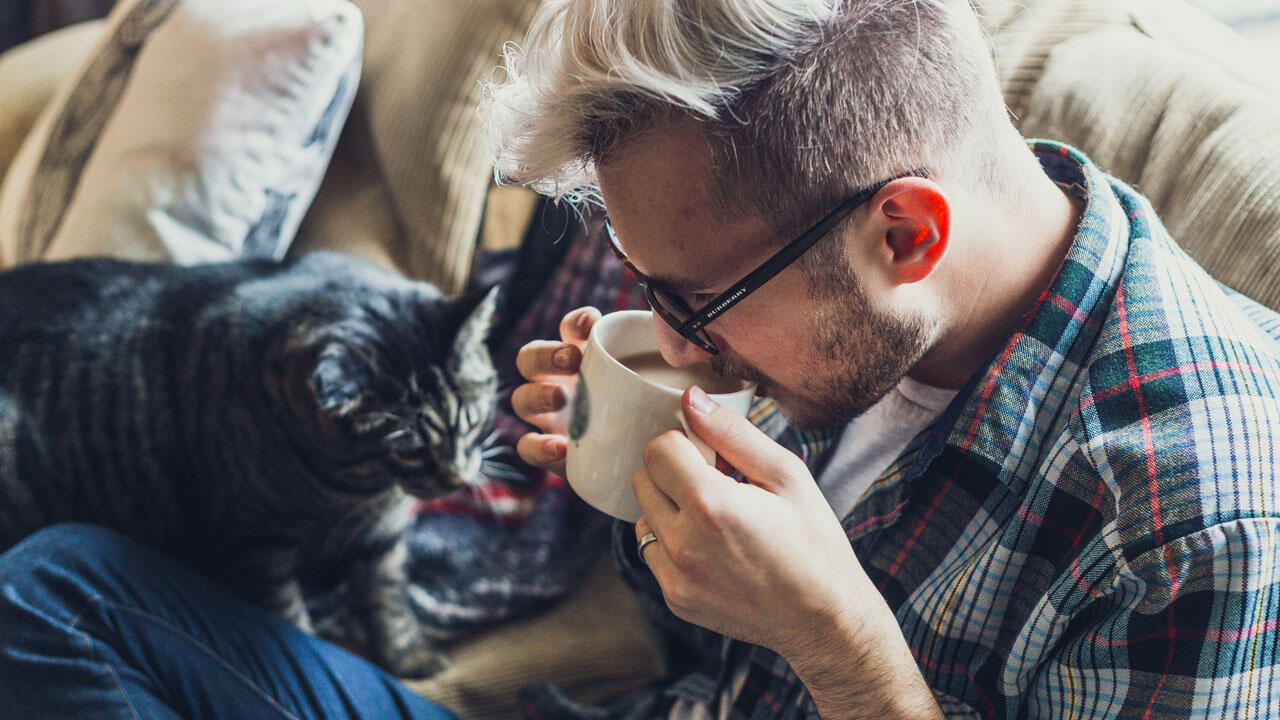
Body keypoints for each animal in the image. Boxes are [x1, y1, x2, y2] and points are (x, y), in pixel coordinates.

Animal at [0, 249, 499, 676]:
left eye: (473, 420)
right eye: (408, 449)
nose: (456, 478)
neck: (357, 490)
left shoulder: (382, 537)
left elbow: (389, 600)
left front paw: (409, 657)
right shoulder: (256, 548)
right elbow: (290, 619)